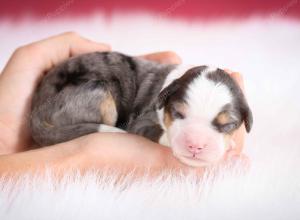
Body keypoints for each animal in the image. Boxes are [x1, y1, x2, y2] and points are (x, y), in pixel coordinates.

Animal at [30, 51, 252, 168]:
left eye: (228, 125)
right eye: (178, 114)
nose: (195, 146)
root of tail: (35, 111)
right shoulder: (143, 120)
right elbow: (156, 132)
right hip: (99, 93)